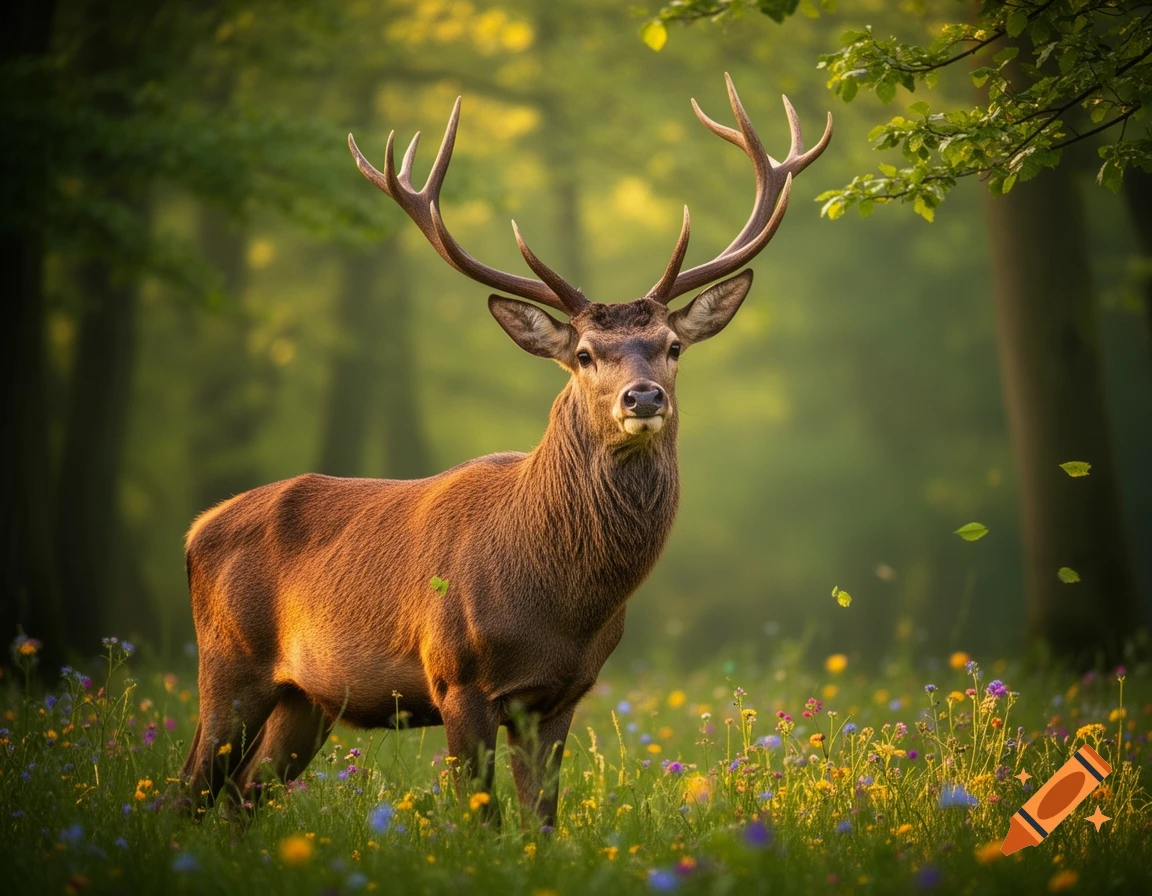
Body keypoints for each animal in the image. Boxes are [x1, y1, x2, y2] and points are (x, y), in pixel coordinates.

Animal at [178, 74, 830, 827]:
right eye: (584, 354)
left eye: (672, 347)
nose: (642, 398)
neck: (560, 599)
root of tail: (195, 530)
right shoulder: (457, 677)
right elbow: (482, 820)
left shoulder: (564, 692)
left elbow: (541, 821)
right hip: (229, 665)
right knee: (189, 789)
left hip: (305, 697)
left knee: (242, 795)